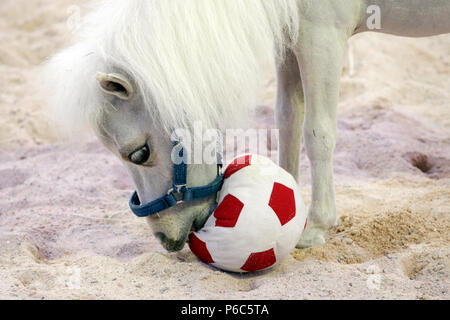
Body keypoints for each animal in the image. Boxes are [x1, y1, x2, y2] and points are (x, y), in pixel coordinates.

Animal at [44, 0, 450, 251]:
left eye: (139, 153)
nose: (164, 239)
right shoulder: (292, 35)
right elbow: (288, 118)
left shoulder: (323, 35)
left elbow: (318, 132)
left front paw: (315, 227)